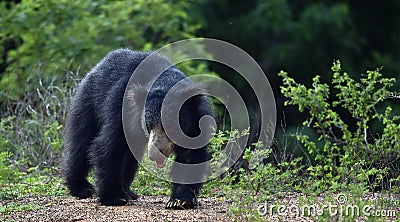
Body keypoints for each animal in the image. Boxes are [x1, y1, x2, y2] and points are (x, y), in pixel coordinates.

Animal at [62, 49, 212, 210]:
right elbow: (110, 146)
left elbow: (191, 156)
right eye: (148, 126)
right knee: (81, 144)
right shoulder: (121, 109)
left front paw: (180, 201)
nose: (154, 155)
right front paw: (114, 198)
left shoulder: (197, 122)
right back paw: (81, 188)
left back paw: (128, 192)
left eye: (171, 126)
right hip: (89, 104)